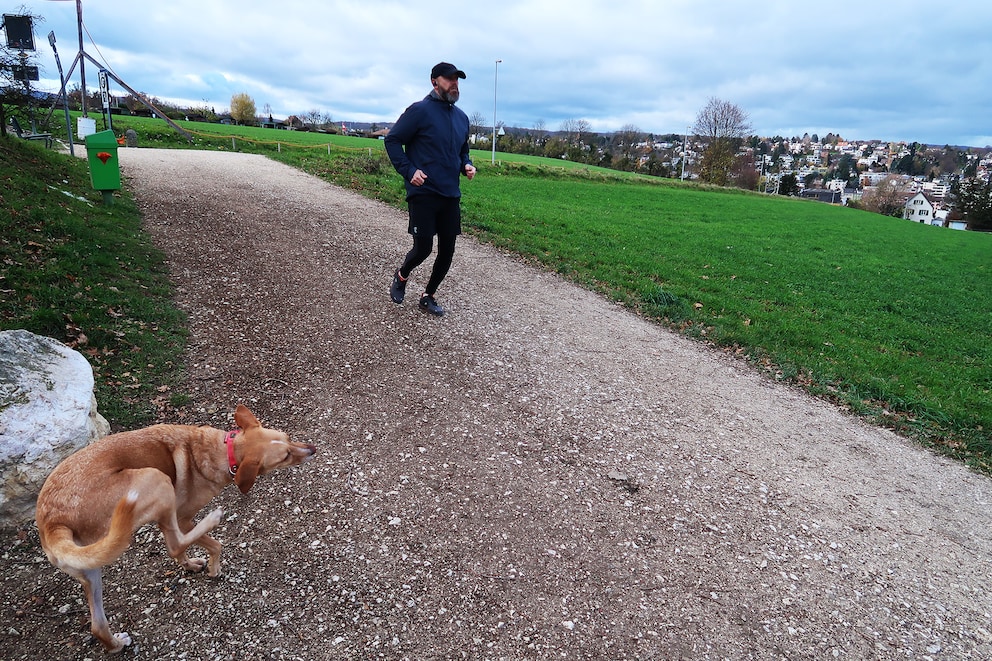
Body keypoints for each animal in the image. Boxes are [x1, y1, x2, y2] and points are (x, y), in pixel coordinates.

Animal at [35, 404, 316, 652]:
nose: (313, 449)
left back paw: (116, 644)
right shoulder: (182, 518)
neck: (223, 451)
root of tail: (53, 519)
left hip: (92, 565)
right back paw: (213, 520)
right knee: (175, 544)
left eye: (288, 438)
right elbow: (210, 544)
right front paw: (213, 568)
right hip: (154, 478)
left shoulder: (168, 519)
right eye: (285, 456)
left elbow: (184, 549)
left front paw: (189, 564)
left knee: (98, 626)